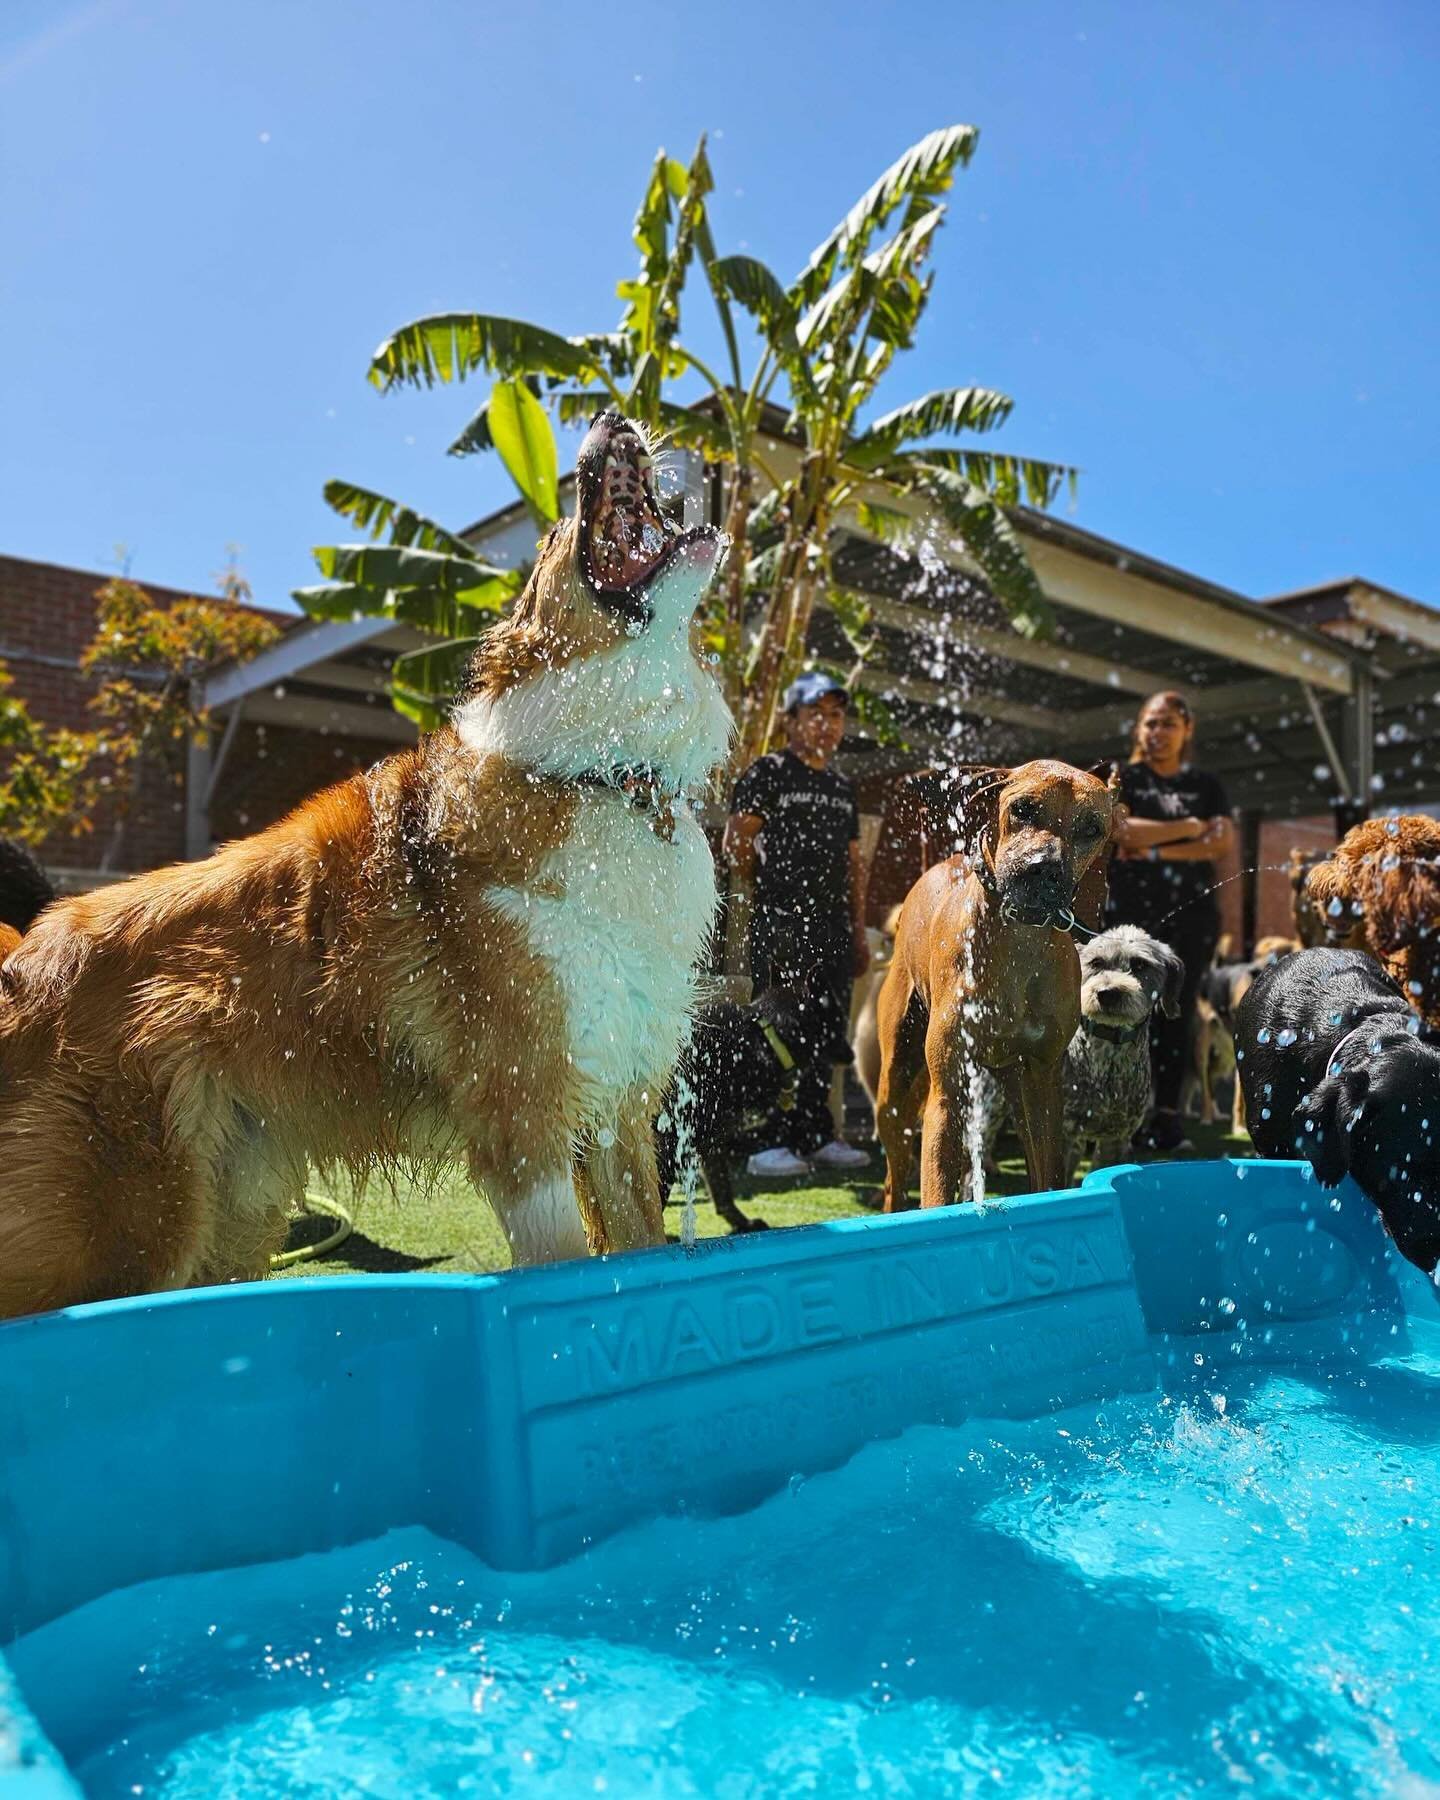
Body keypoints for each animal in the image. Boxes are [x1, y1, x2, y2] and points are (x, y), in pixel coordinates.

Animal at [655, 986, 856, 1238]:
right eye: (838, 1020)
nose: (853, 1055)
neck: (763, 1039)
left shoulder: (709, 1136)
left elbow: (721, 1188)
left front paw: (741, 1223)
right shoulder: (675, 1135)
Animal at [871, 759, 1116, 1209]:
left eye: (1092, 827)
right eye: (1022, 808)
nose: (1043, 868)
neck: (1018, 939)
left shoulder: (1043, 1081)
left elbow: (1048, 1173)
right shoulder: (947, 1094)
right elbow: (936, 1191)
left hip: (1015, 1086)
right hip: (895, 1086)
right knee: (896, 1173)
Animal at [972, 928, 1188, 1180]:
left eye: (1140, 965)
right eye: (1096, 962)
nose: (1107, 993)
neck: (1106, 1063)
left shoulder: (1116, 1137)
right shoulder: (1065, 1133)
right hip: (991, 1103)